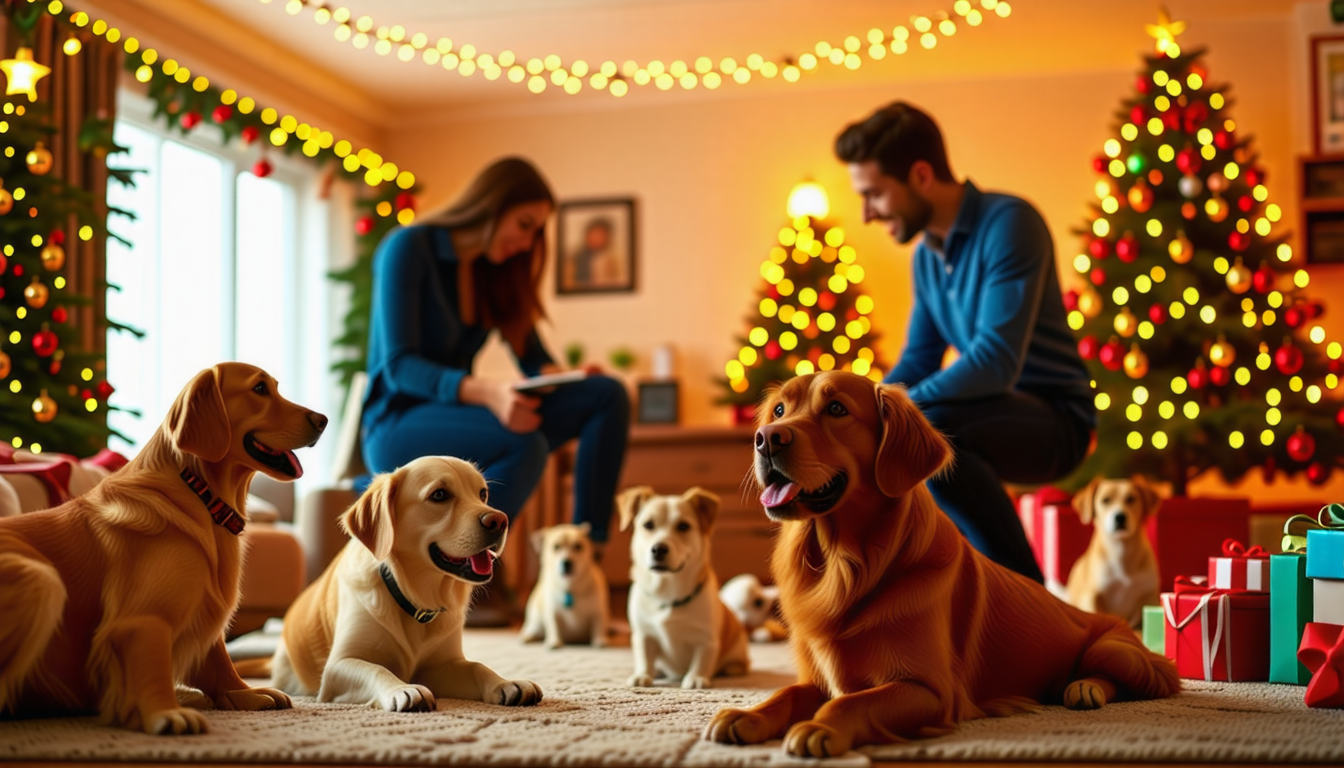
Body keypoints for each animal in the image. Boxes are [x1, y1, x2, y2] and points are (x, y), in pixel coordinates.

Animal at [0, 363, 325, 737]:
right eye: (259, 389)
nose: (324, 420)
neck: (200, 493)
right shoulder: (142, 620)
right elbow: (152, 662)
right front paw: (164, 712)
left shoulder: (204, 610)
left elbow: (218, 657)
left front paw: (243, 692)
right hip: (42, 581)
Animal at [270, 457, 542, 715]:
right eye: (439, 495)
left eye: (482, 494)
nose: (500, 520)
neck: (416, 597)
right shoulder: (339, 665)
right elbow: (377, 669)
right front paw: (402, 689)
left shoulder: (440, 666)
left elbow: (477, 667)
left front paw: (506, 683)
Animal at [615, 486, 752, 688]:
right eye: (648, 525)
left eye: (683, 526)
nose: (658, 549)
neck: (667, 592)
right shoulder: (643, 634)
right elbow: (644, 657)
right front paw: (643, 674)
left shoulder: (706, 640)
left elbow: (702, 660)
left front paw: (696, 677)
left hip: (738, 651)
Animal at [1064, 476, 1161, 632]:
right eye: (1105, 500)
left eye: (1131, 499)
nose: (1120, 517)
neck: (1122, 552)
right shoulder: (1092, 597)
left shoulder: (1150, 596)